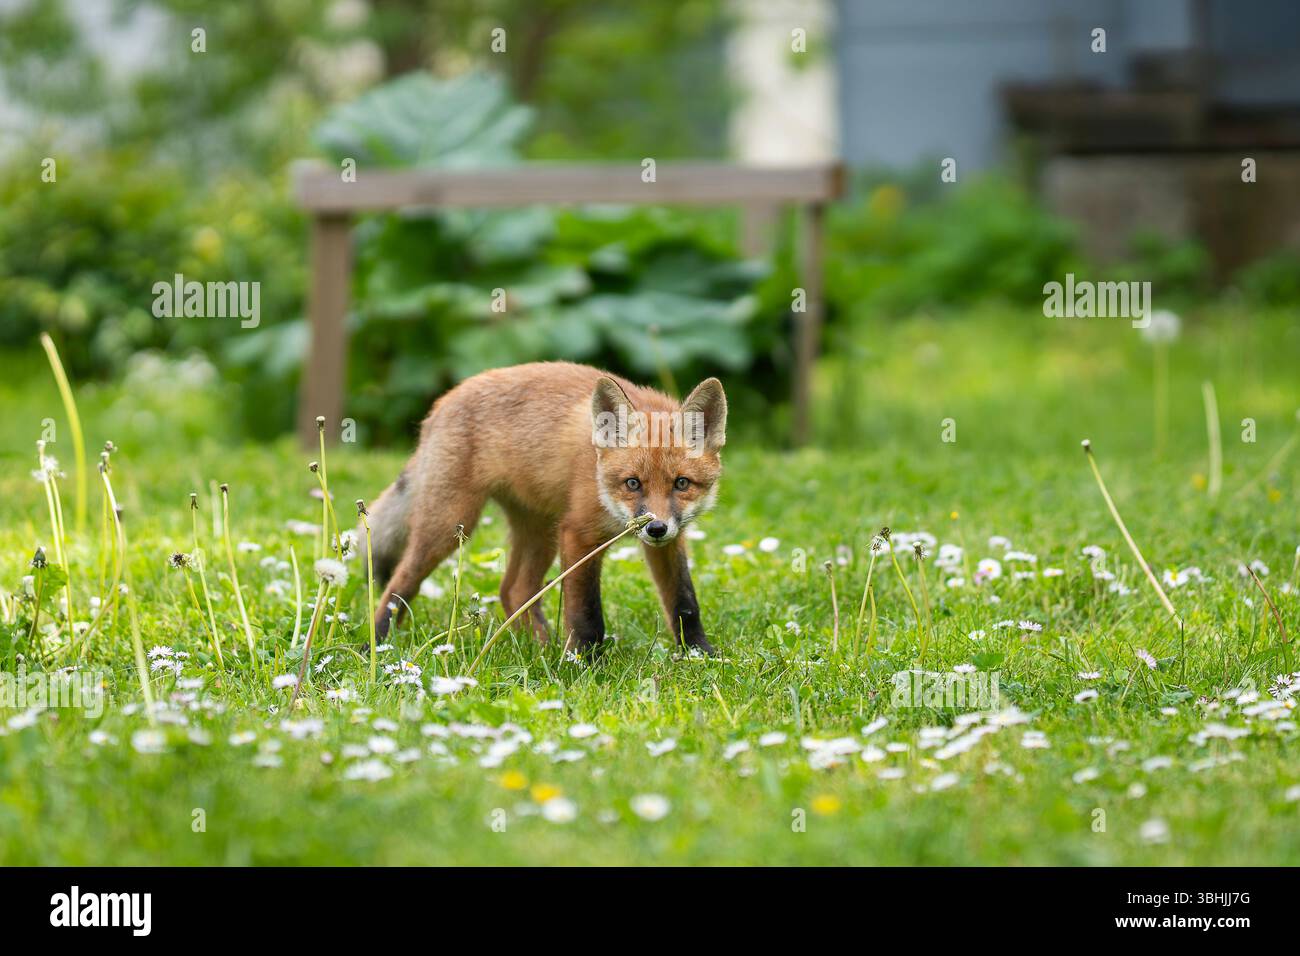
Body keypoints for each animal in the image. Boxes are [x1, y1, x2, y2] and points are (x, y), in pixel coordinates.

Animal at [365, 362, 727, 655]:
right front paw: (582, 663)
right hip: (451, 524)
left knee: (513, 590)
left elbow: (684, 602)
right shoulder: (578, 534)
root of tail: (445, 399)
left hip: (541, 534)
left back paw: (540, 646)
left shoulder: (670, 542)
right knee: (401, 582)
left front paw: (700, 654)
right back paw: (377, 644)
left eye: (681, 483)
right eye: (633, 483)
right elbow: (586, 614)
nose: (655, 528)